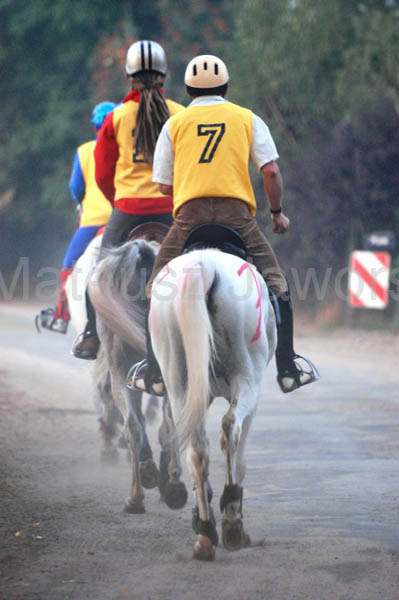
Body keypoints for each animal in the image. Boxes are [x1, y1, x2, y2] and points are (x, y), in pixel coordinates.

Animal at [151, 246, 278, 560]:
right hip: (248, 376)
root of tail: (204, 265)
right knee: (231, 428)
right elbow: (240, 456)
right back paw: (232, 524)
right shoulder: (251, 396)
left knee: (196, 451)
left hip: (177, 376)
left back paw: (206, 533)